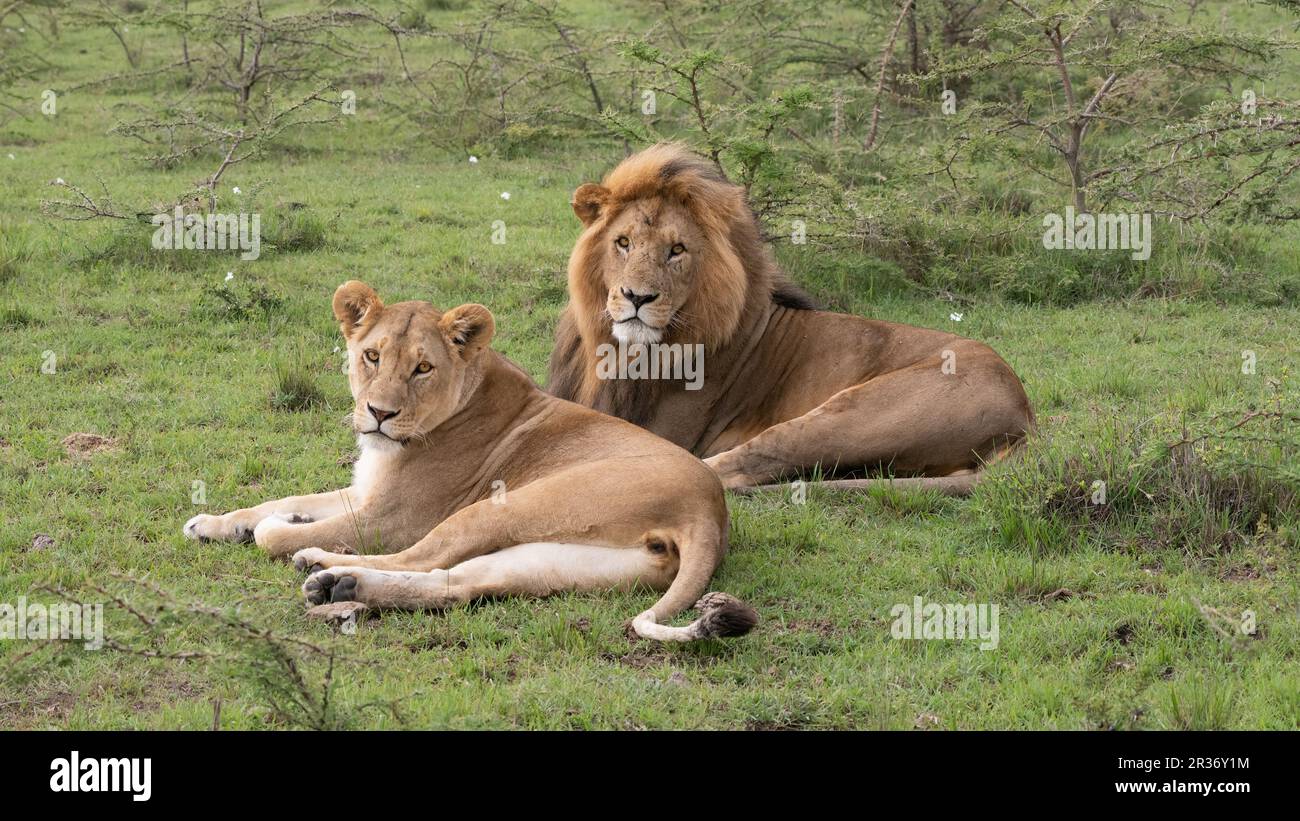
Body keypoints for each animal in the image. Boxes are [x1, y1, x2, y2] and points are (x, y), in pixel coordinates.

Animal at [182, 280, 754, 641]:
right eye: (372, 356)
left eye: (422, 368)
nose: (379, 414)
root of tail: (710, 510)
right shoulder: (365, 491)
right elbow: (277, 500)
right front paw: (213, 522)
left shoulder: (391, 518)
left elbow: (275, 532)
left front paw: (286, 529)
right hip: (550, 558)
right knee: (456, 584)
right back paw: (339, 586)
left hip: (503, 506)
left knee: (420, 559)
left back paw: (321, 567)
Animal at [548, 144, 1034, 493]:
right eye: (623, 242)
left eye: (677, 250)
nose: (637, 297)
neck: (618, 350)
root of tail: (1025, 412)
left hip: (855, 413)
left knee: (740, 466)